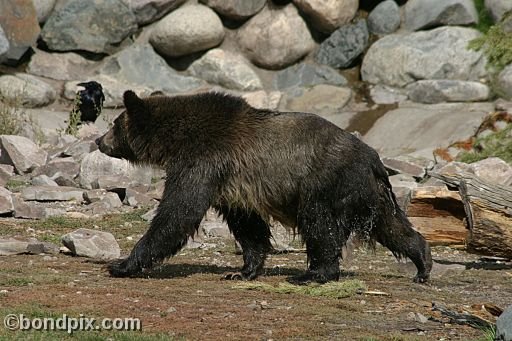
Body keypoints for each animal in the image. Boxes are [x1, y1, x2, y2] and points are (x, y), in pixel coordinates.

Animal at [97, 89, 432, 282]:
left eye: (114, 123)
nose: (99, 140)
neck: (175, 141)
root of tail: (373, 157)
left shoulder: (203, 161)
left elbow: (179, 212)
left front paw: (122, 264)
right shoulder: (232, 184)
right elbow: (248, 227)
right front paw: (242, 270)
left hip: (325, 183)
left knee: (320, 225)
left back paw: (313, 274)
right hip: (368, 192)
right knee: (391, 225)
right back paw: (422, 264)